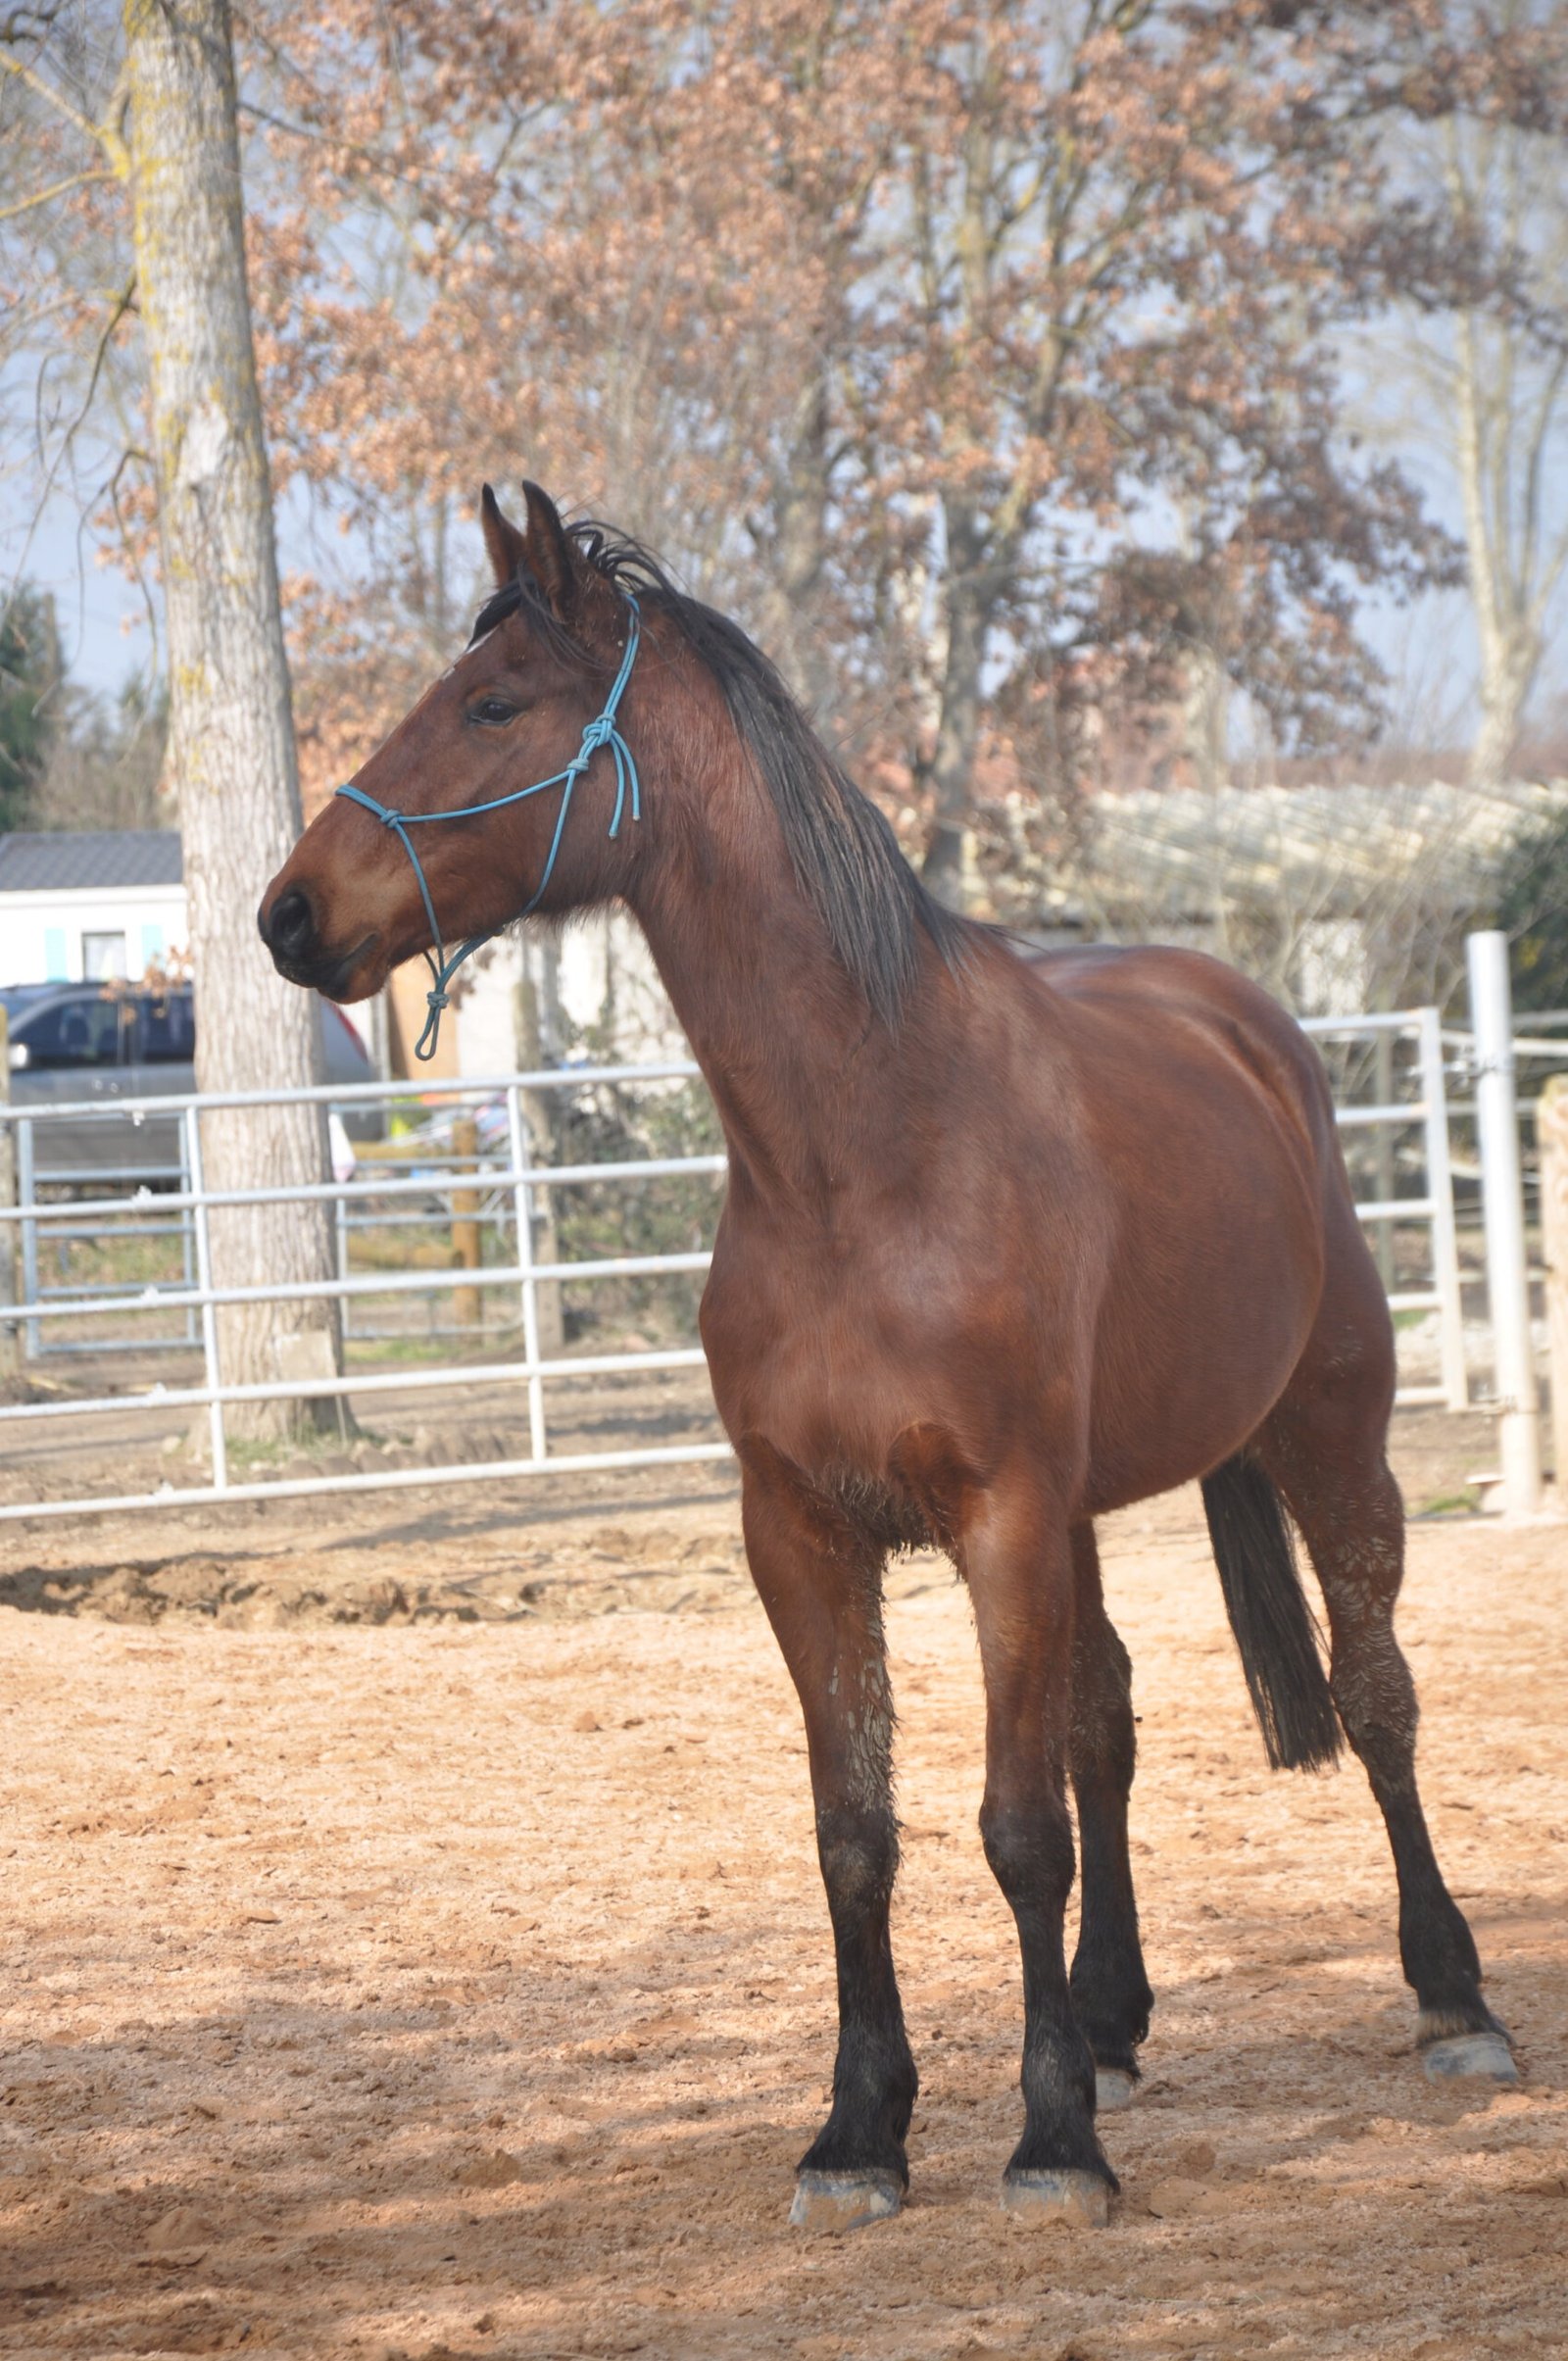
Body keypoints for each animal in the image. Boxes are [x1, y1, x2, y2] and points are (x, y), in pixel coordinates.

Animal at [259, 481, 1515, 2232]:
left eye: (495, 705)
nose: (292, 912)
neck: (869, 1153)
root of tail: (1251, 1028)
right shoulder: (802, 1533)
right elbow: (858, 1827)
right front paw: (863, 2127)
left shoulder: (999, 1521)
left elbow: (1017, 1829)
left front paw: (1050, 2140)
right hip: (1089, 1518)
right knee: (1109, 1724)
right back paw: (1113, 2022)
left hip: (1331, 1447)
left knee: (1375, 1697)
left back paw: (1452, 1999)